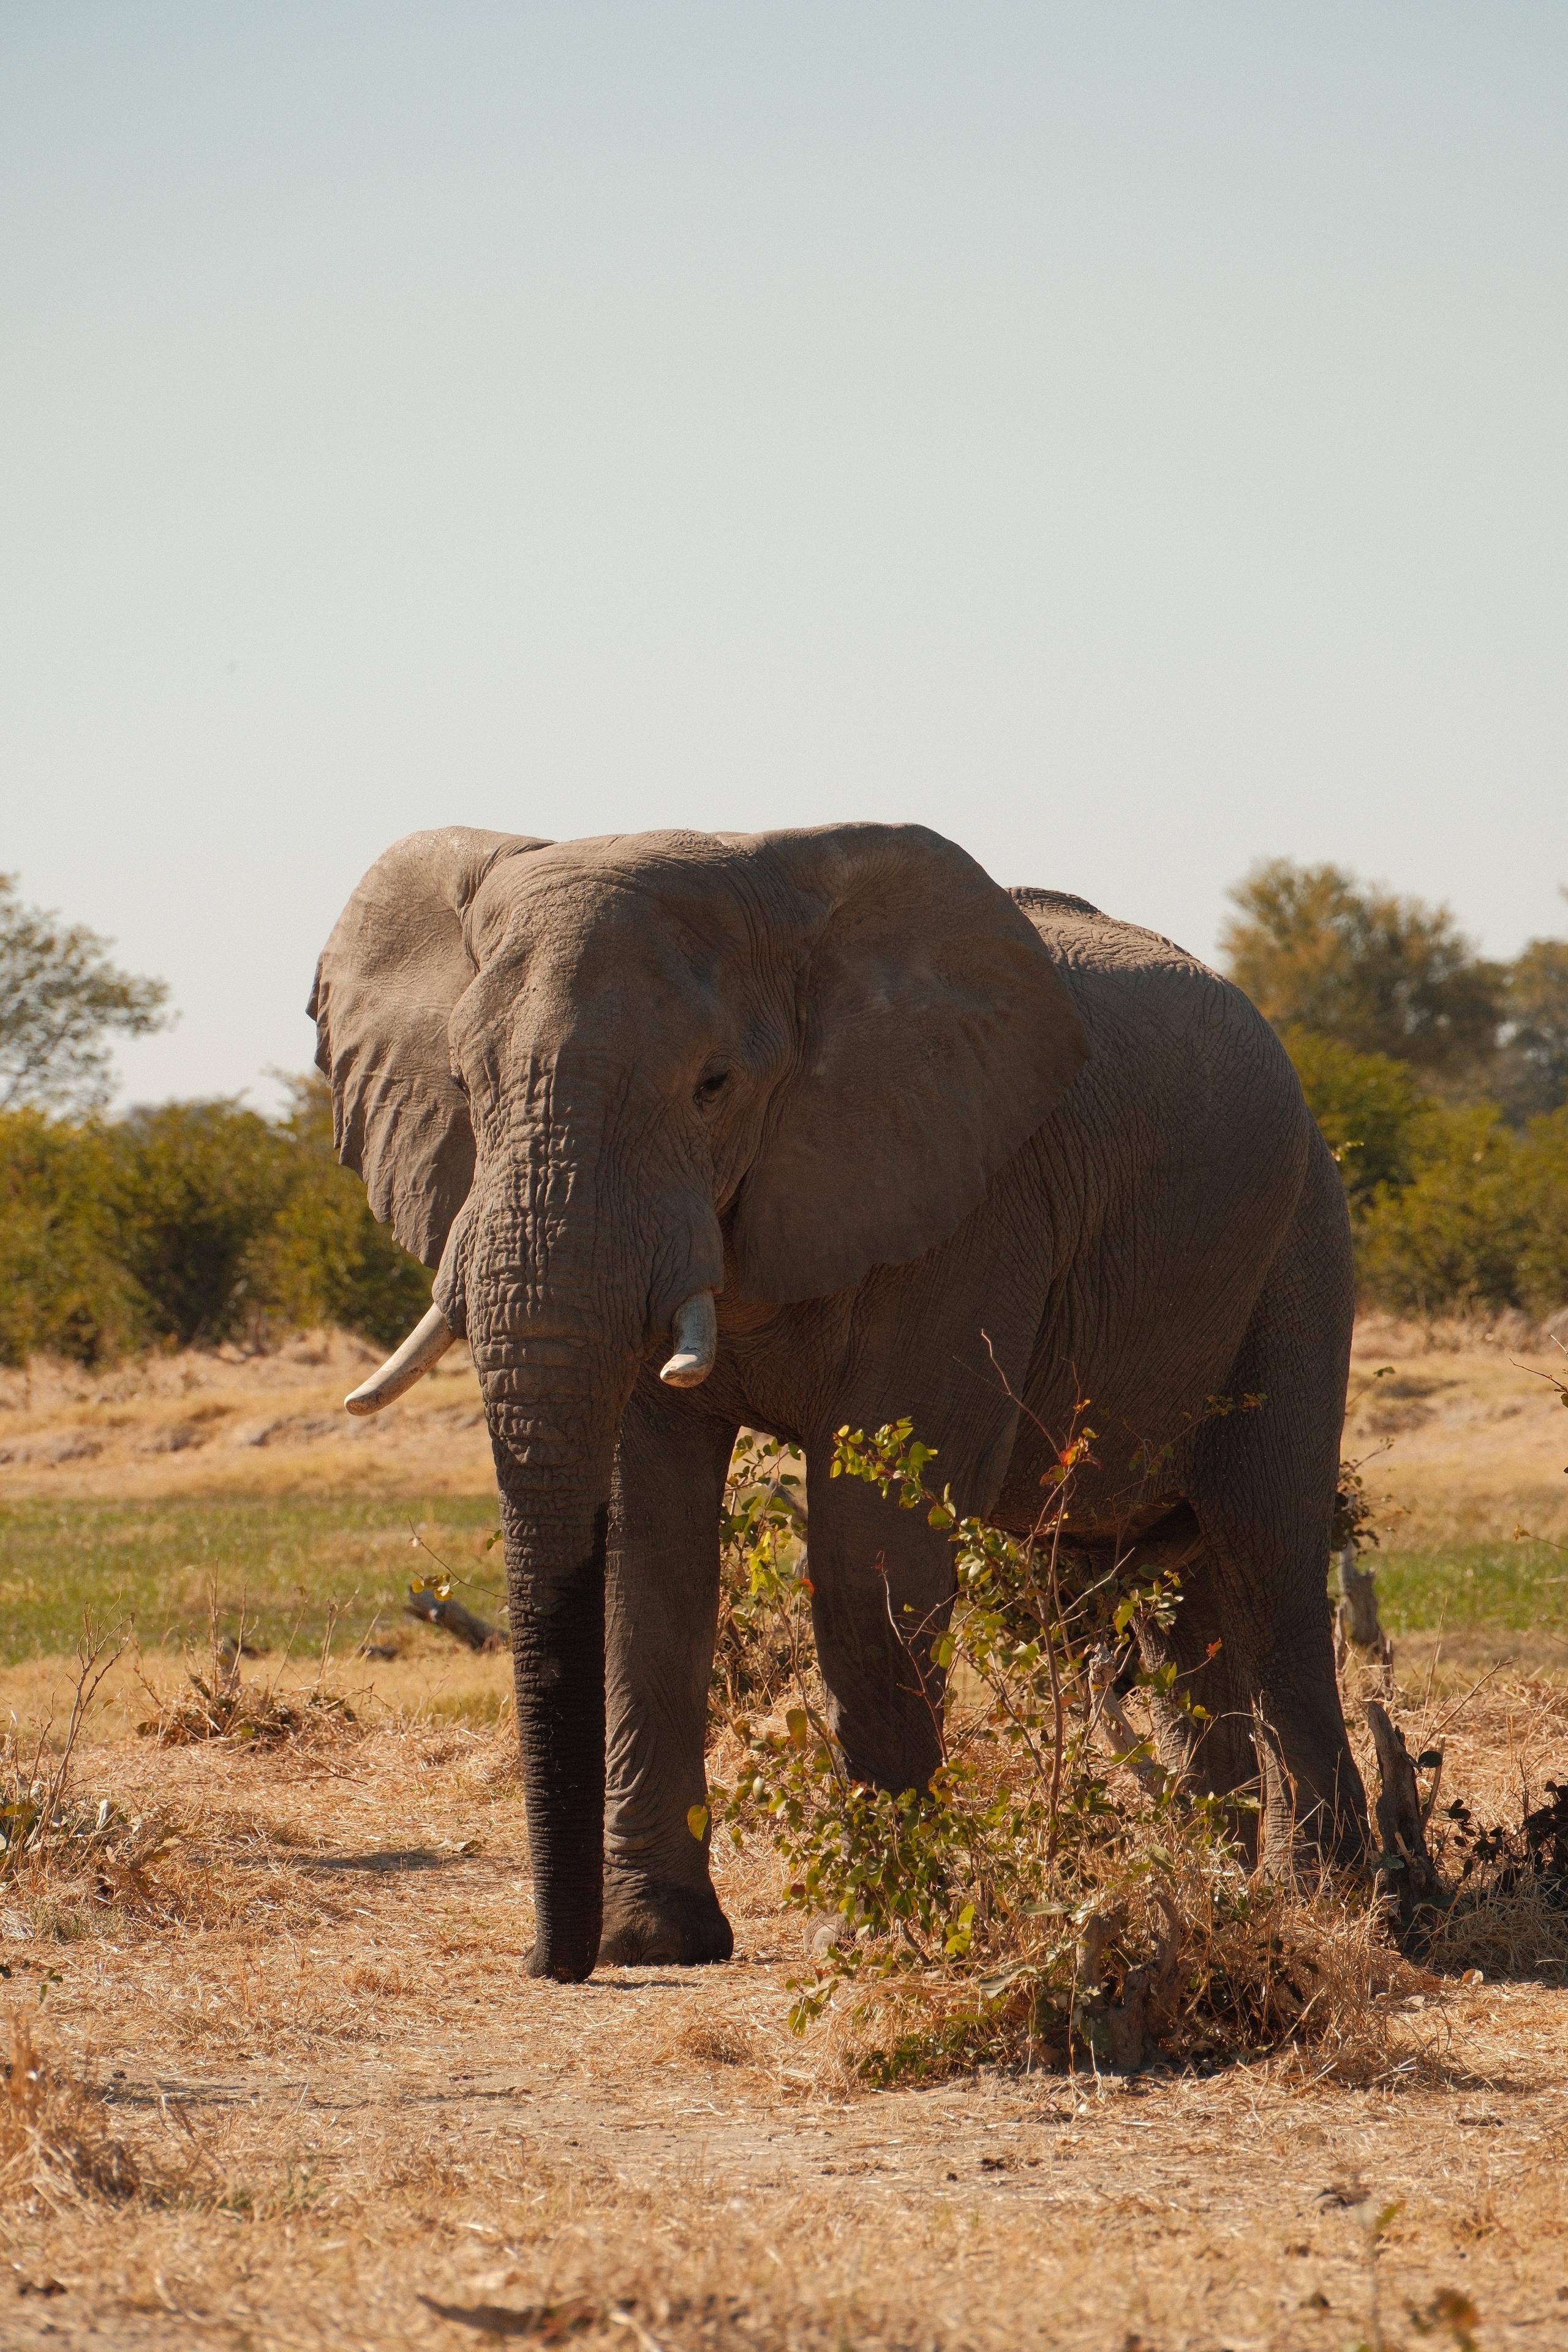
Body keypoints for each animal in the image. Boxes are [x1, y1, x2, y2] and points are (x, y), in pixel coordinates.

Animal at [309, 820, 1369, 1982]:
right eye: (465, 1080)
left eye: (714, 1085)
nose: (556, 1963)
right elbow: (648, 1543)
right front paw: (656, 1940)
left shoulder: (969, 1197)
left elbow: (870, 1540)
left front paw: (877, 1936)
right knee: (1171, 1594)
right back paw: (1224, 1889)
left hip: (1302, 1249)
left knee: (1269, 1562)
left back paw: (1326, 1907)